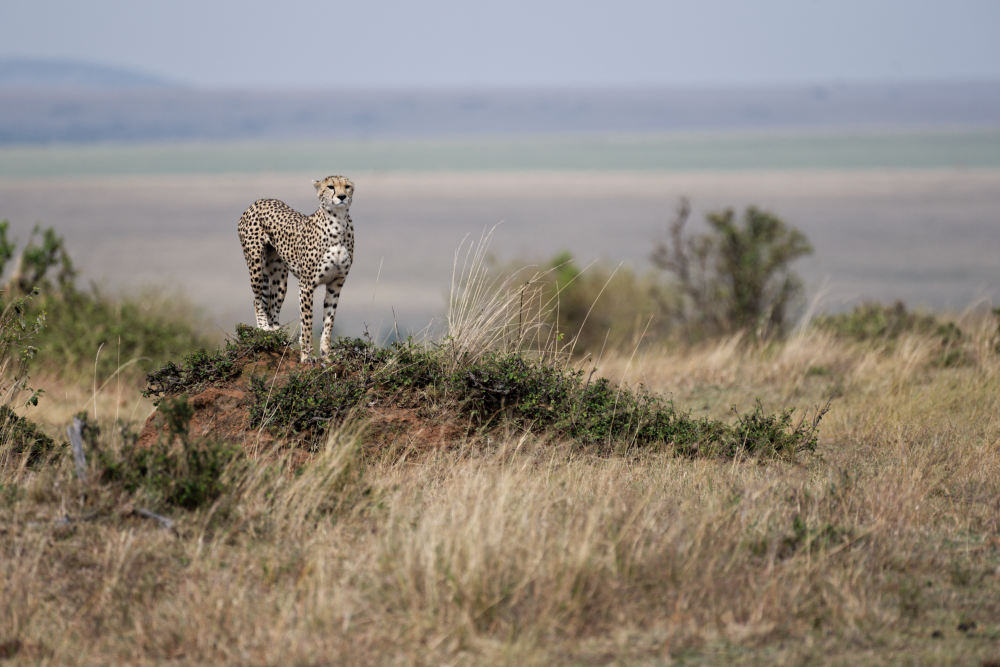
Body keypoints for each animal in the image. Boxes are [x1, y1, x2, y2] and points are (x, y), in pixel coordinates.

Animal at [237, 175, 356, 362]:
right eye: (330, 187)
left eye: (347, 186)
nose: (342, 196)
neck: (338, 223)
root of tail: (260, 200)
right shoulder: (306, 285)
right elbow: (307, 323)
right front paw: (307, 356)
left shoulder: (336, 284)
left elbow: (328, 322)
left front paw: (326, 355)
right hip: (255, 264)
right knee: (257, 300)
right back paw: (264, 329)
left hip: (279, 279)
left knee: (272, 306)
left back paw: (277, 336)